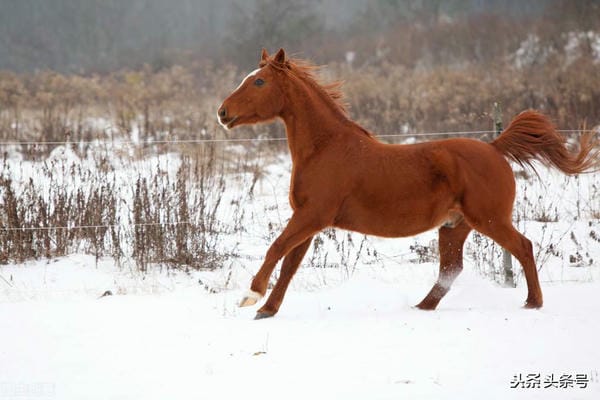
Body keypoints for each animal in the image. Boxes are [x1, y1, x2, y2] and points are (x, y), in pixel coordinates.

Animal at [218, 49, 596, 318]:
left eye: (259, 82)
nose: (222, 113)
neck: (326, 148)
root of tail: (494, 147)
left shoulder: (312, 216)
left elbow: (276, 250)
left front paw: (250, 297)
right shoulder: (309, 221)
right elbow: (289, 264)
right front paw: (267, 310)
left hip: (488, 219)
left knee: (523, 247)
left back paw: (533, 302)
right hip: (455, 225)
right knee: (451, 268)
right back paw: (422, 307)